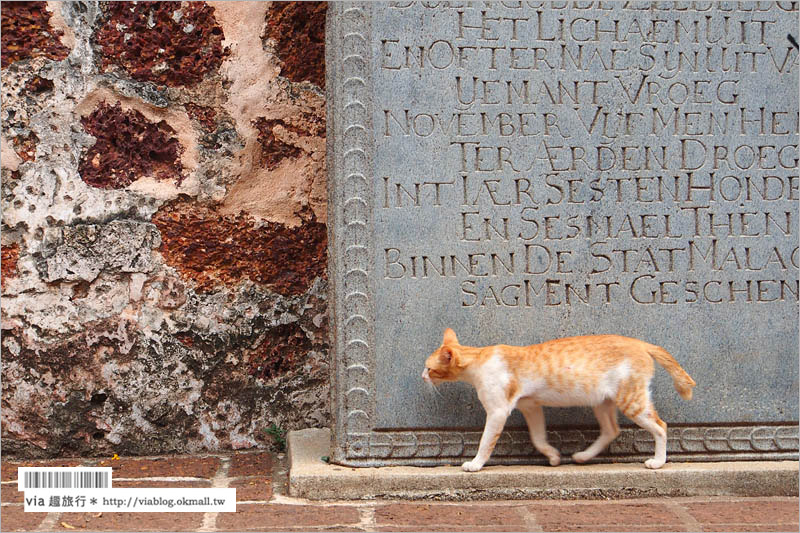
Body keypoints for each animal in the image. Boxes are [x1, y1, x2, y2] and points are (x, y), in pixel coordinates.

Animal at [424, 328, 692, 470]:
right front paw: (552, 456)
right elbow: (538, 437)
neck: (478, 358)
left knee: (661, 426)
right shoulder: (531, 407)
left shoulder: (498, 411)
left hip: (632, 400)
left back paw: (658, 461)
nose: (422, 376)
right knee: (611, 430)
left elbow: (485, 441)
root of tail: (640, 343)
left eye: (429, 369)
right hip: (602, 402)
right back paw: (583, 456)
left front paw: (475, 464)